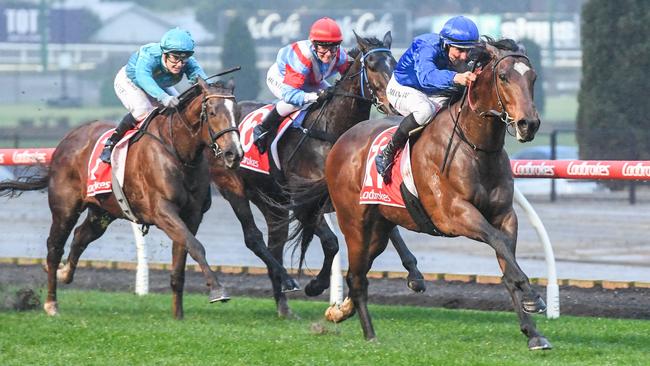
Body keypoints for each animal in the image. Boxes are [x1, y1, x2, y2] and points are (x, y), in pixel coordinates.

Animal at [0, 78, 242, 318]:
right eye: (212, 112)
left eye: (237, 112)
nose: (234, 153)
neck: (180, 153)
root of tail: (66, 141)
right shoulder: (162, 211)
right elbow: (196, 246)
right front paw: (218, 290)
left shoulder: (192, 215)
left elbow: (182, 257)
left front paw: (178, 315)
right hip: (65, 208)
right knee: (54, 247)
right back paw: (51, 303)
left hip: (103, 211)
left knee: (80, 236)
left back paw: (64, 273)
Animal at [208, 32, 426, 318]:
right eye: (371, 66)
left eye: (395, 63)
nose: (394, 104)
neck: (331, 133)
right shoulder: (305, 203)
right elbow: (332, 242)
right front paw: (316, 284)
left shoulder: (358, 199)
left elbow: (394, 235)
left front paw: (415, 274)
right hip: (233, 188)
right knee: (254, 238)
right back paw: (288, 282)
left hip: (272, 202)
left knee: (275, 244)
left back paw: (283, 305)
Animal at [292, 38, 548, 350]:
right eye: (503, 77)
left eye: (532, 77)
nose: (528, 124)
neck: (475, 147)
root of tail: (340, 142)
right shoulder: (455, 214)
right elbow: (498, 242)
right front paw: (534, 298)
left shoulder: (505, 215)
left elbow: (507, 261)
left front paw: (533, 330)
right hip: (354, 222)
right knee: (357, 276)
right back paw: (370, 334)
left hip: (379, 227)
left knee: (360, 270)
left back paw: (340, 311)